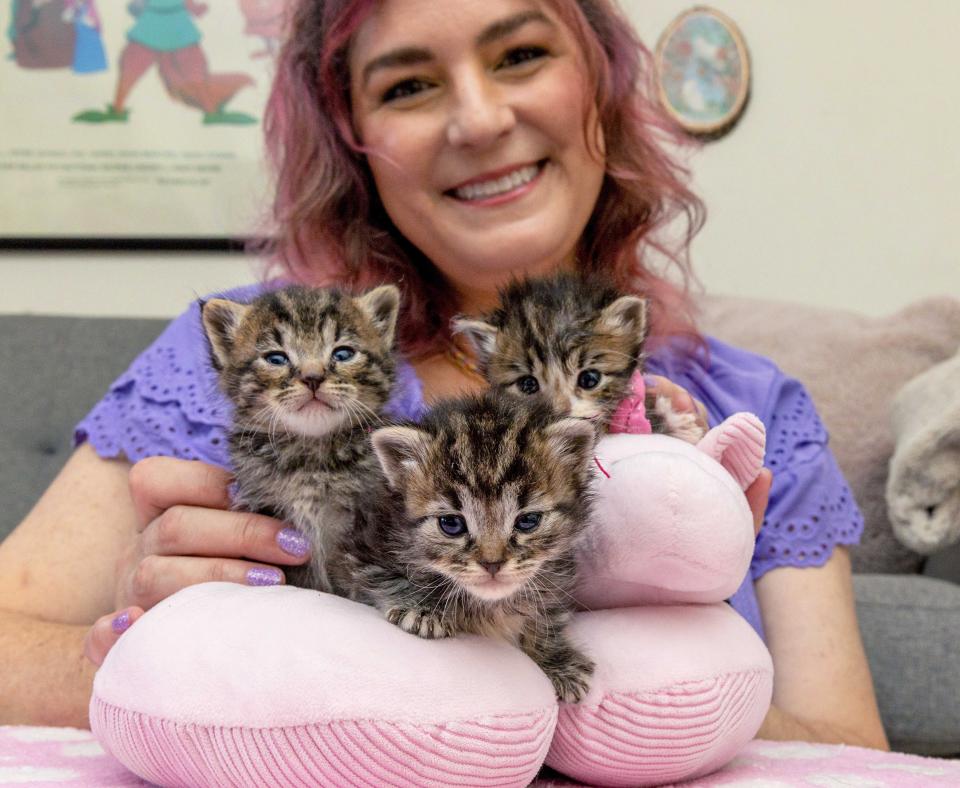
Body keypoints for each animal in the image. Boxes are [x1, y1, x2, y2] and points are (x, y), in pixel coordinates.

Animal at [338, 390, 592, 704]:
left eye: (528, 521)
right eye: (451, 524)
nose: (492, 563)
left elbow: (550, 612)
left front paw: (556, 659)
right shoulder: (364, 547)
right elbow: (382, 578)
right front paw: (422, 609)